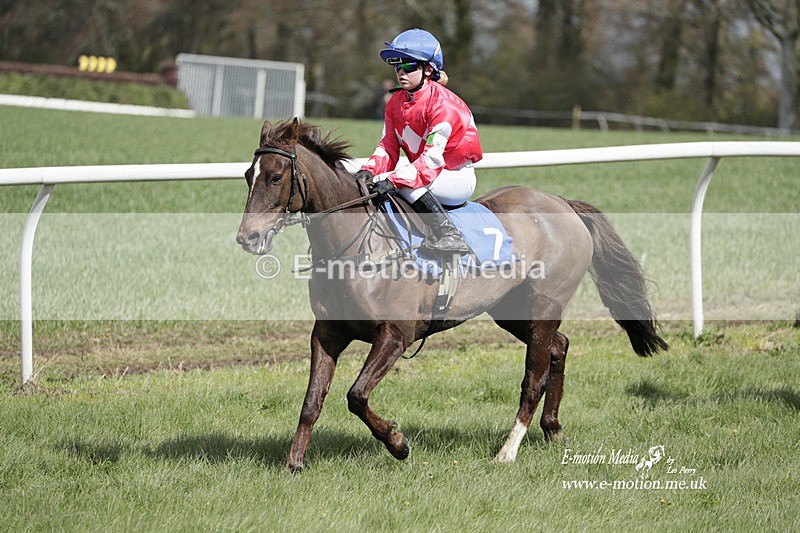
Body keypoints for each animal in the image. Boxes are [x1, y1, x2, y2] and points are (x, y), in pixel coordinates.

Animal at [236, 118, 668, 472]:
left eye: (275, 177)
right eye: (247, 175)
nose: (248, 238)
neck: (358, 248)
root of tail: (562, 203)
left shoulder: (395, 335)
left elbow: (356, 395)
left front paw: (398, 443)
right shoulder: (326, 333)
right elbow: (312, 401)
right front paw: (294, 463)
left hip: (546, 304)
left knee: (533, 377)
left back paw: (508, 450)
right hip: (511, 310)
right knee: (558, 347)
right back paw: (553, 429)